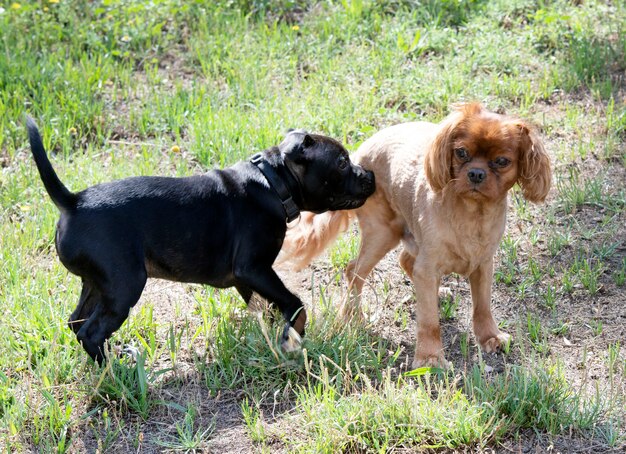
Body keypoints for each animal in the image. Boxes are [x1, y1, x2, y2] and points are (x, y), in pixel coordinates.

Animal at [26, 119, 372, 362]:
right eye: (342, 162)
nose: (369, 175)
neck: (273, 182)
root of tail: (73, 202)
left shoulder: (249, 278)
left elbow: (269, 309)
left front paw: (275, 338)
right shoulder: (254, 268)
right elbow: (294, 303)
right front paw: (293, 340)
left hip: (98, 284)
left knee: (76, 322)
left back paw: (114, 359)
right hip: (124, 285)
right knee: (90, 332)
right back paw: (116, 370)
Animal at [276, 103, 548, 368]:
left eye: (502, 161)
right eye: (461, 153)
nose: (476, 173)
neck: (472, 212)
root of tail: (359, 153)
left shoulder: (483, 265)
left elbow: (482, 306)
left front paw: (489, 337)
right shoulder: (427, 267)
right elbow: (429, 321)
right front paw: (430, 358)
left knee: (404, 261)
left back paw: (438, 293)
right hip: (384, 233)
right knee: (355, 271)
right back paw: (352, 317)